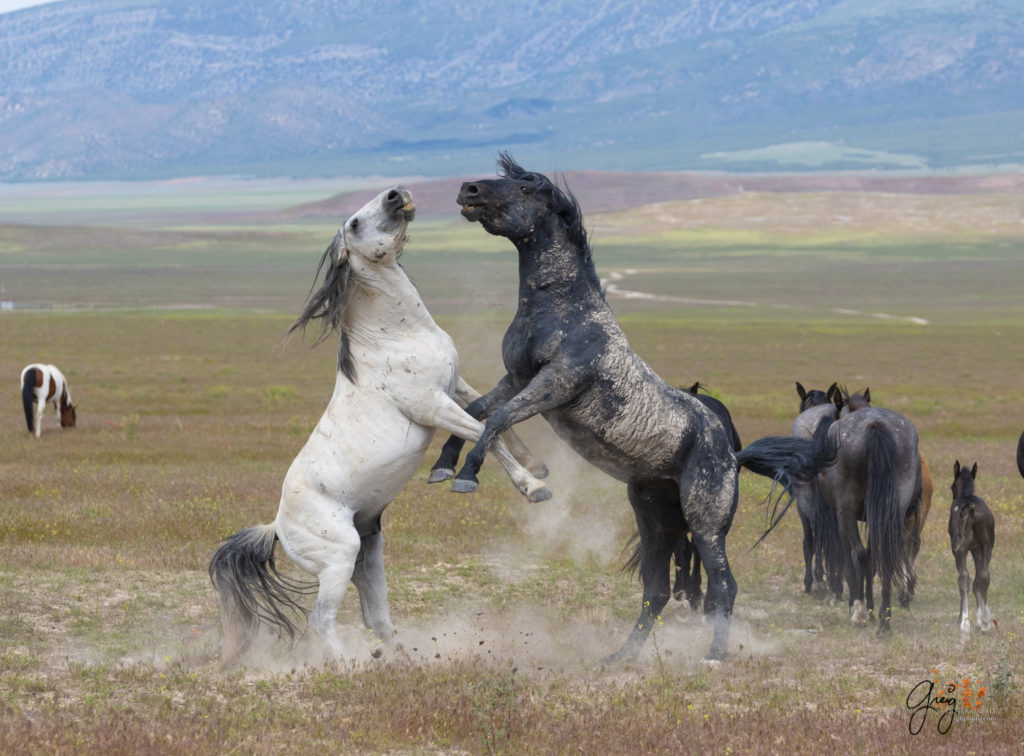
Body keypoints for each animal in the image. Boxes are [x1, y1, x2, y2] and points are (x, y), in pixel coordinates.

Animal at [206, 185, 552, 663]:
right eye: (354, 223)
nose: (396, 194)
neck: (396, 336)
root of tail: (277, 527)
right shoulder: (432, 406)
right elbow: (484, 431)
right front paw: (530, 488)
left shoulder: (455, 386)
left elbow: (494, 416)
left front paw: (534, 467)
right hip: (340, 557)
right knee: (321, 619)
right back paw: (351, 664)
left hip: (367, 555)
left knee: (377, 618)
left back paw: (402, 660)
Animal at [428, 153, 835, 659]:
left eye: (523, 188)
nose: (469, 190)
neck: (566, 313)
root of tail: (732, 455)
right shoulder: (516, 379)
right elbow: (475, 412)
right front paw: (443, 467)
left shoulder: (554, 384)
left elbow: (496, 419)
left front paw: (469, 476)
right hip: (654, 519)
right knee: (656, 591)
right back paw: (620, 658)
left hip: (705, 522)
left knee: (724, 584)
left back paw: (714, 654)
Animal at [946, 463, 995, 635]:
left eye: (952, 486)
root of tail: (970, 509)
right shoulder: (977, 548)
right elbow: (978, 581)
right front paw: (981, 620)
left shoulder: (965, 547)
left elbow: (967, 580)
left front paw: (962, 618)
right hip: (987, 544)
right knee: (984, 575)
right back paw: (986, 622)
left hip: (959, 549)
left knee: (963, 577)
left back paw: (965, 623)